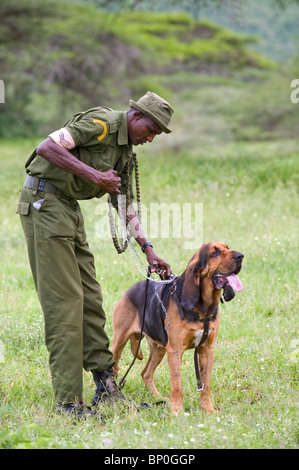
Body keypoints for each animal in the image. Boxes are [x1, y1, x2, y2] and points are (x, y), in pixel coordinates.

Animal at [112, 244, 244, 414]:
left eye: (227, 247)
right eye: (215, 252)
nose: (241, 256)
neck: (203, 308)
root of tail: (131, 289)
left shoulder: (207, 350)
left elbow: (206, 385)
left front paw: (207, 409)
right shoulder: (175, 351)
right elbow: (177, 385)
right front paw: (177, 412)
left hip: (159, 349)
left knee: (146, 373)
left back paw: (157, 398)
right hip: (119, 341)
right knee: (114, 367)